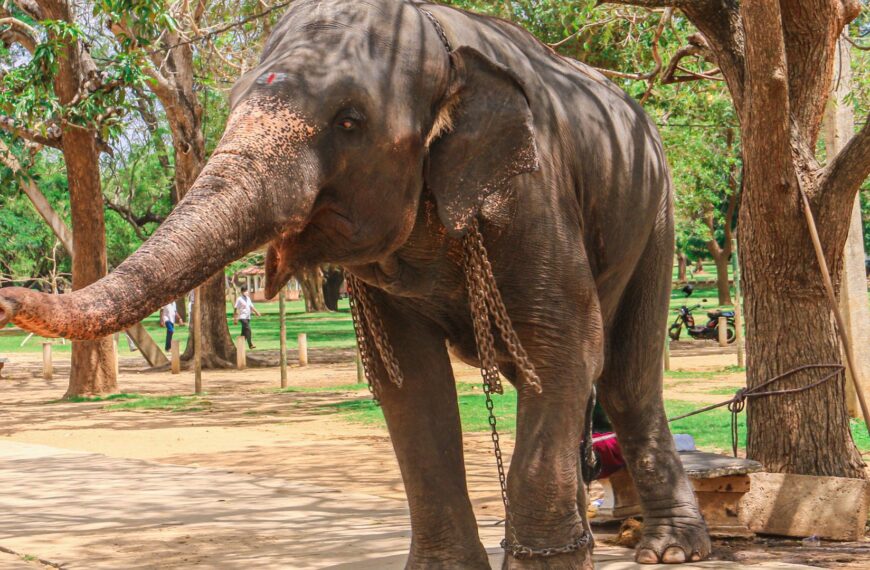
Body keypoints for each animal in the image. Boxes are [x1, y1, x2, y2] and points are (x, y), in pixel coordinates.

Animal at [0, 0, 711, 567]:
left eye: (349, 121)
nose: (10, 294)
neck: (445, 45)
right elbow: (409, 382)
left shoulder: (534, 190)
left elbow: (560, 348)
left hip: (658, 213)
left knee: (623, 378)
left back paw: (668, 550)